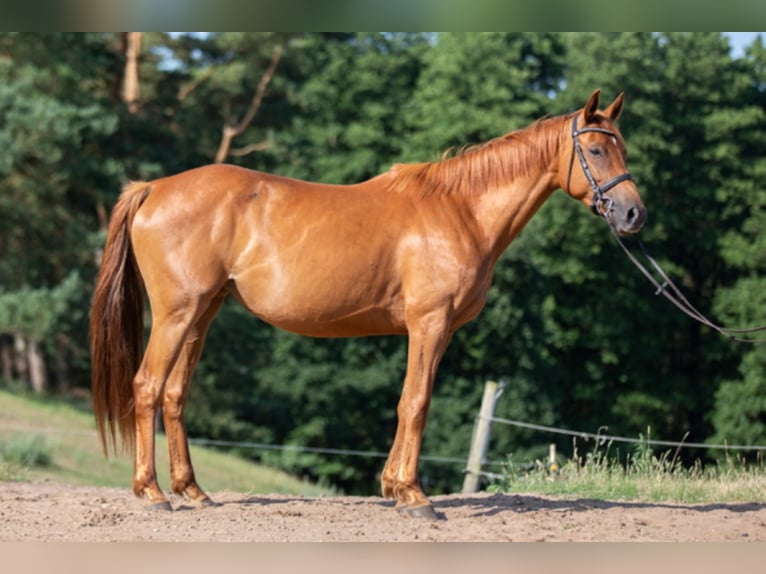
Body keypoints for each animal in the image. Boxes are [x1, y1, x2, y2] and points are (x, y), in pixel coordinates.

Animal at [91, 91, 648, 520]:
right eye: (595, 150)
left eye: (621, 148)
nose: (633, 214)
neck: (460, 210)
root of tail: (153, 188)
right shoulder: (430, 324)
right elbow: (416, 403)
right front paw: (415, 497)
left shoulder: (435, 331)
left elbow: (408, 404)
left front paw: (394, 488)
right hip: (177, 314)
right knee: (147, 387)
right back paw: (152, 493)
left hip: (201, 315)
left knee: (174, 395)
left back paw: (193, 491)